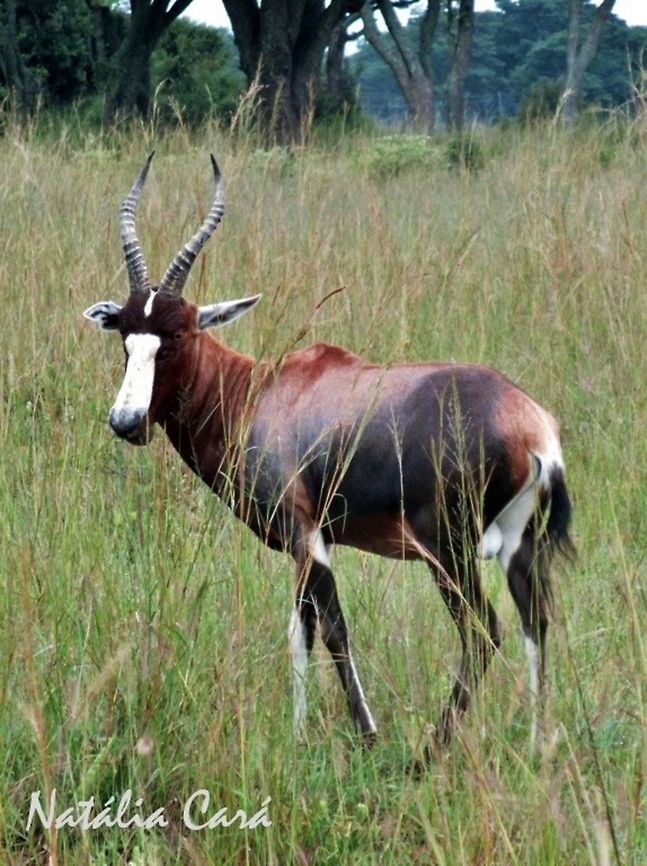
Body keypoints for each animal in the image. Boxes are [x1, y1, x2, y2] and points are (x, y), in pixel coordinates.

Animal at [84, 154, 573, 762]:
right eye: (127, 335)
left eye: (174, 335)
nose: (126, 421)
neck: (259, 390)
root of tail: (531, 425)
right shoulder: (303, 545)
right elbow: (301, 632)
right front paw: (297, 739)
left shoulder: (306, 535)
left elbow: (333, 629)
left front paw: (367, 733)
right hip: (518, 543)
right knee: (535, 622)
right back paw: (537, 745)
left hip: (448, 551)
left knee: (484, 632)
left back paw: (427, 754)